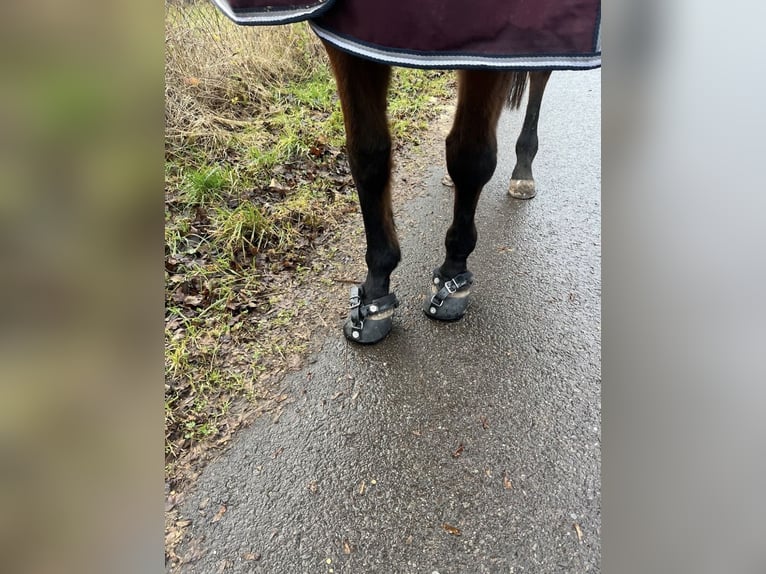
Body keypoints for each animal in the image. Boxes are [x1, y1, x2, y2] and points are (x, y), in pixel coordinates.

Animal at [210, 0, 600, 344]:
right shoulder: (350, 39)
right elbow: (368, 156)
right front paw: (375, 292)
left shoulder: (493, 42)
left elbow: (471, 156)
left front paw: (454, 273)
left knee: (539, 74)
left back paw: (523, 170)